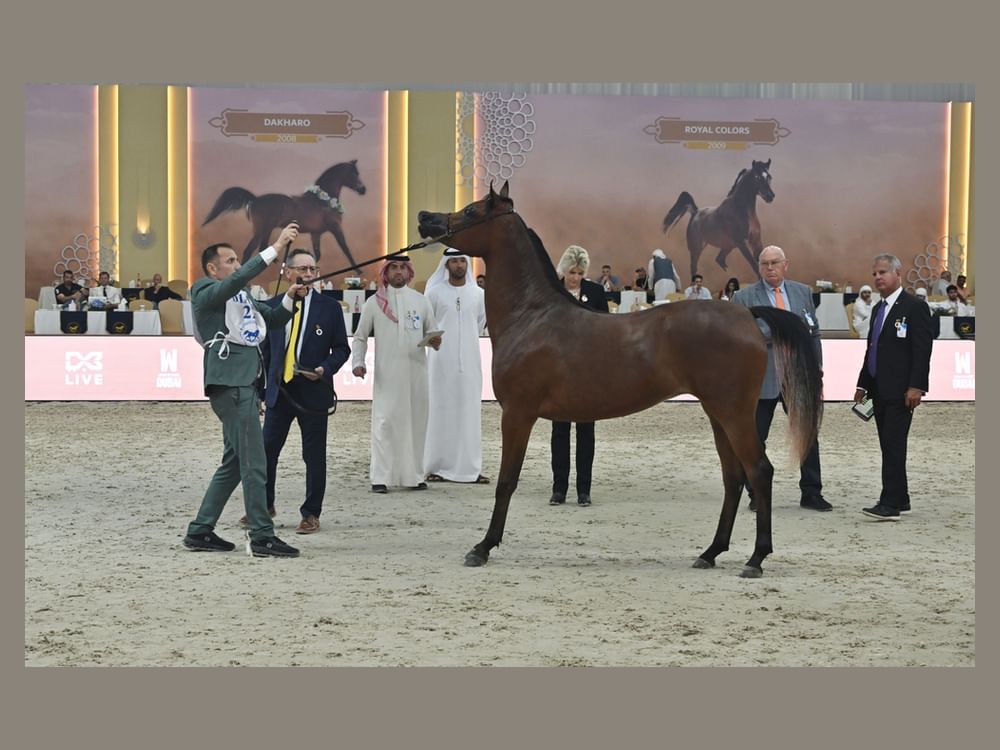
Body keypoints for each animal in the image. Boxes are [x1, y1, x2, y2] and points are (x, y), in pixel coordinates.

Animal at [202, 160, 367, 267]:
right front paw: (358, 271)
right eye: (353, 174)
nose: (363, 189)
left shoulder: (316, 233)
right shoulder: (335, 228)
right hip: (263, 229)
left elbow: (317, 254)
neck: (322, 200)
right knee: (254, 249)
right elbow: (345, 248)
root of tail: (255, 199)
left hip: (264, 230)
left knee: (258, 248)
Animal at [417, 182, 822, 578]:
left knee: (759, 471)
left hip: (734, 413)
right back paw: (710, 552)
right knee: (733, 476)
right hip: (718, 414)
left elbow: (506, 481)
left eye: (471, 210)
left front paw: (483, 547)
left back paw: (756, 558)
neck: (531, 316)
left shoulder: (517, 414)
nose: (424, 217)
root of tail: (745, 313)